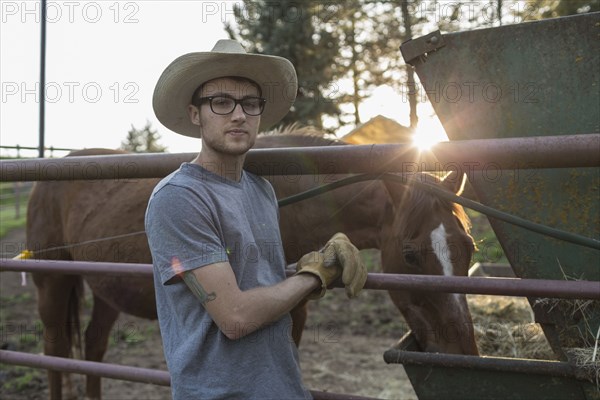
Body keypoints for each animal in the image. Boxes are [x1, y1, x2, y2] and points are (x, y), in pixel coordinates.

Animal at [27, 133, 478, 398]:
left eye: (469, 249)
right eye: (410, 255)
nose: (462, 353)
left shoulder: (294, 306)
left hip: (105, 289)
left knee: (92, 347)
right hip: (52, 283)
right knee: (54, 350)